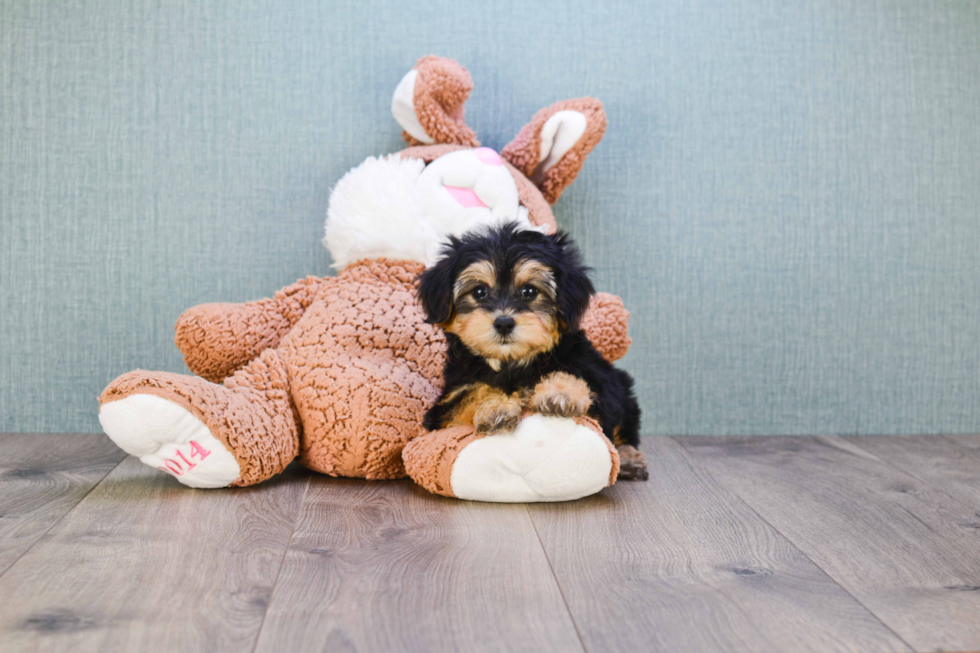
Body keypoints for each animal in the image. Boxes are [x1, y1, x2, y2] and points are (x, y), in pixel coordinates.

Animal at [418, 223, 648, 478]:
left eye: (529, 291)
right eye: (479, 292)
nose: (504, 322)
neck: (512, 362)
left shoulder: (599, 387)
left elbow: (582, 388)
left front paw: (560, 393)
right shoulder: (445, 406)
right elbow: (471, 394)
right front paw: (495, 407)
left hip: (621, 388)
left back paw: (629, 459)